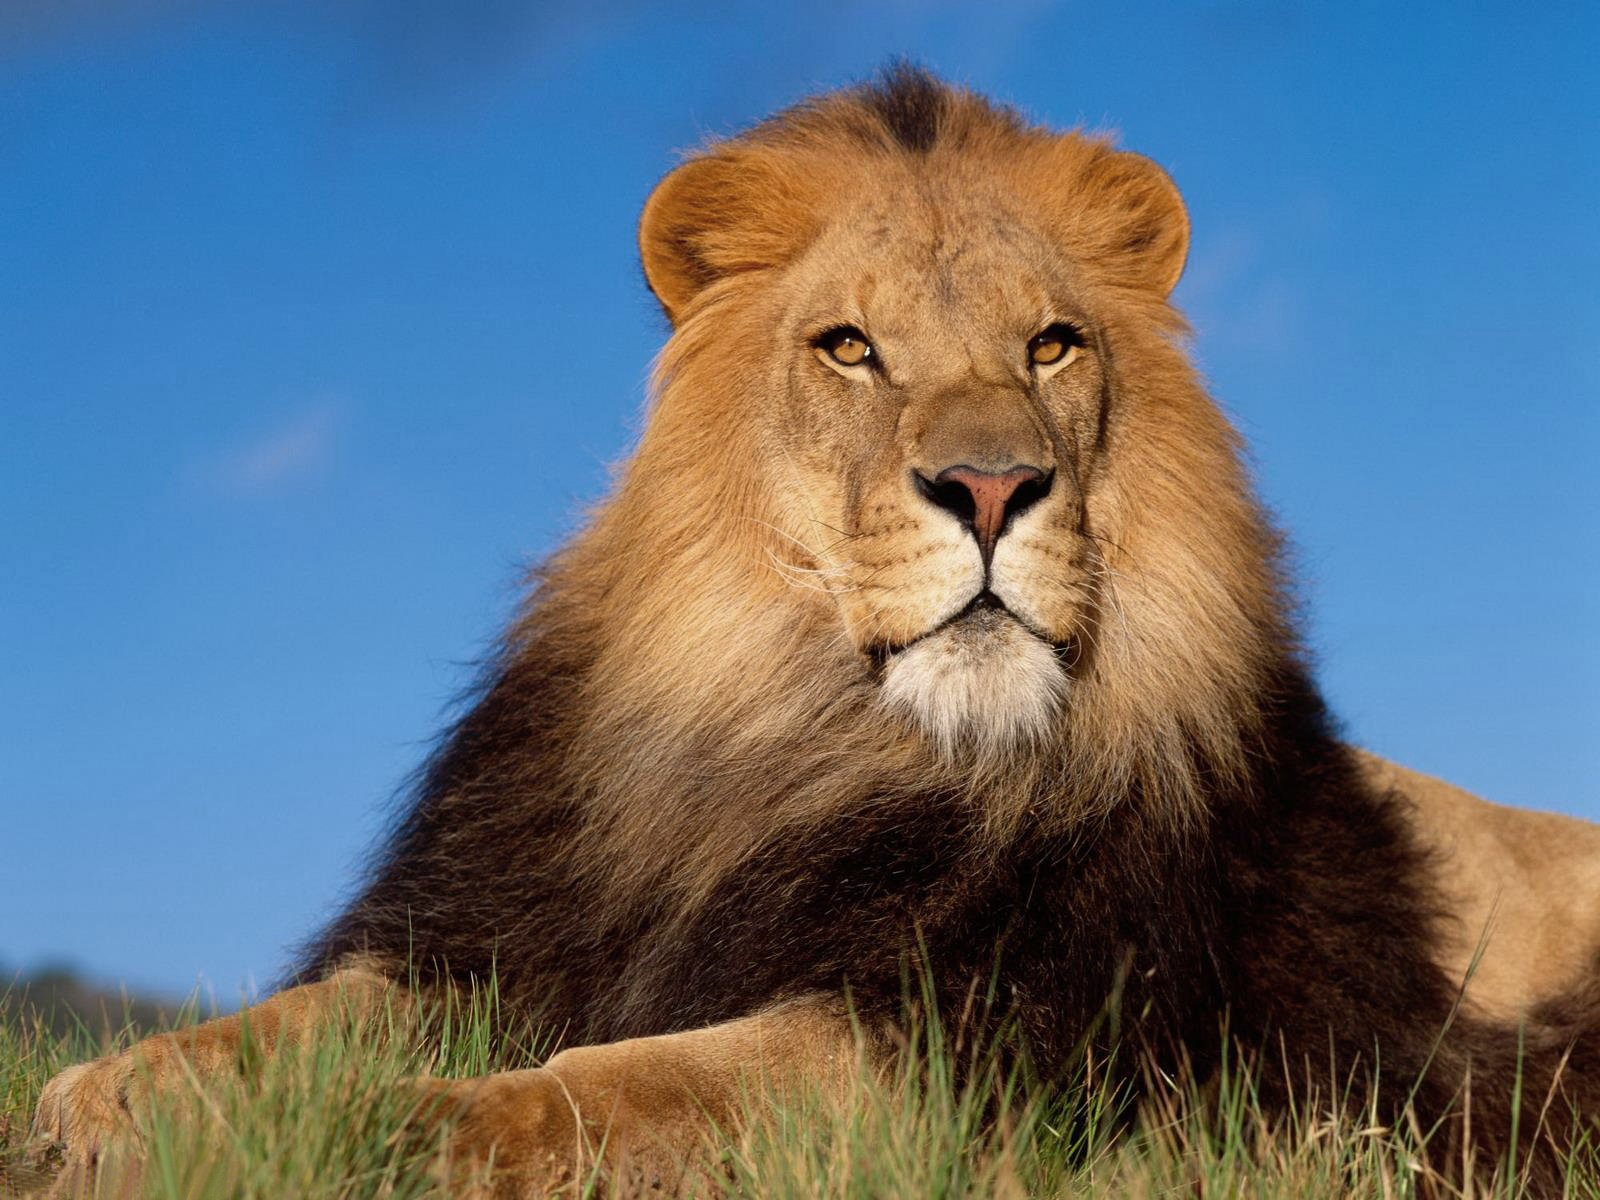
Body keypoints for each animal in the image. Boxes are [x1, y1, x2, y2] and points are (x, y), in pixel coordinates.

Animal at [28, 66, 1600, 1196]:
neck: (800, 742)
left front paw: (406, 1134)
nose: (991, 486)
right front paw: (119, 1097)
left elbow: (627, 1085)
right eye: (850, 348)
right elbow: (309, 1016)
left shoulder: (975, 1047)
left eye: (1052, 346)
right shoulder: (499, 933)